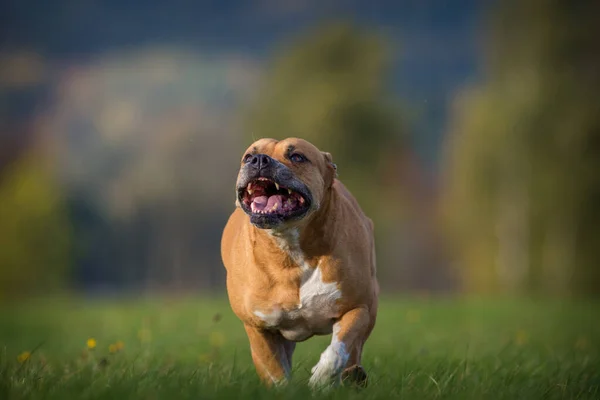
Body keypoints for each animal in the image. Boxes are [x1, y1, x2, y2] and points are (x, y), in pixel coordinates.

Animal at [220, 137, 380, 388]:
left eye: (297, 157)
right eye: (248, 156)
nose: (259, 160)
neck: (289, 254)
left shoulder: (357, 307)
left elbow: (340, 346)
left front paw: (322, 376)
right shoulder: (257, 327)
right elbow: (274, 371)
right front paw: (284, 389)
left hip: (370, 307)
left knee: (355, 351)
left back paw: (353, 376)